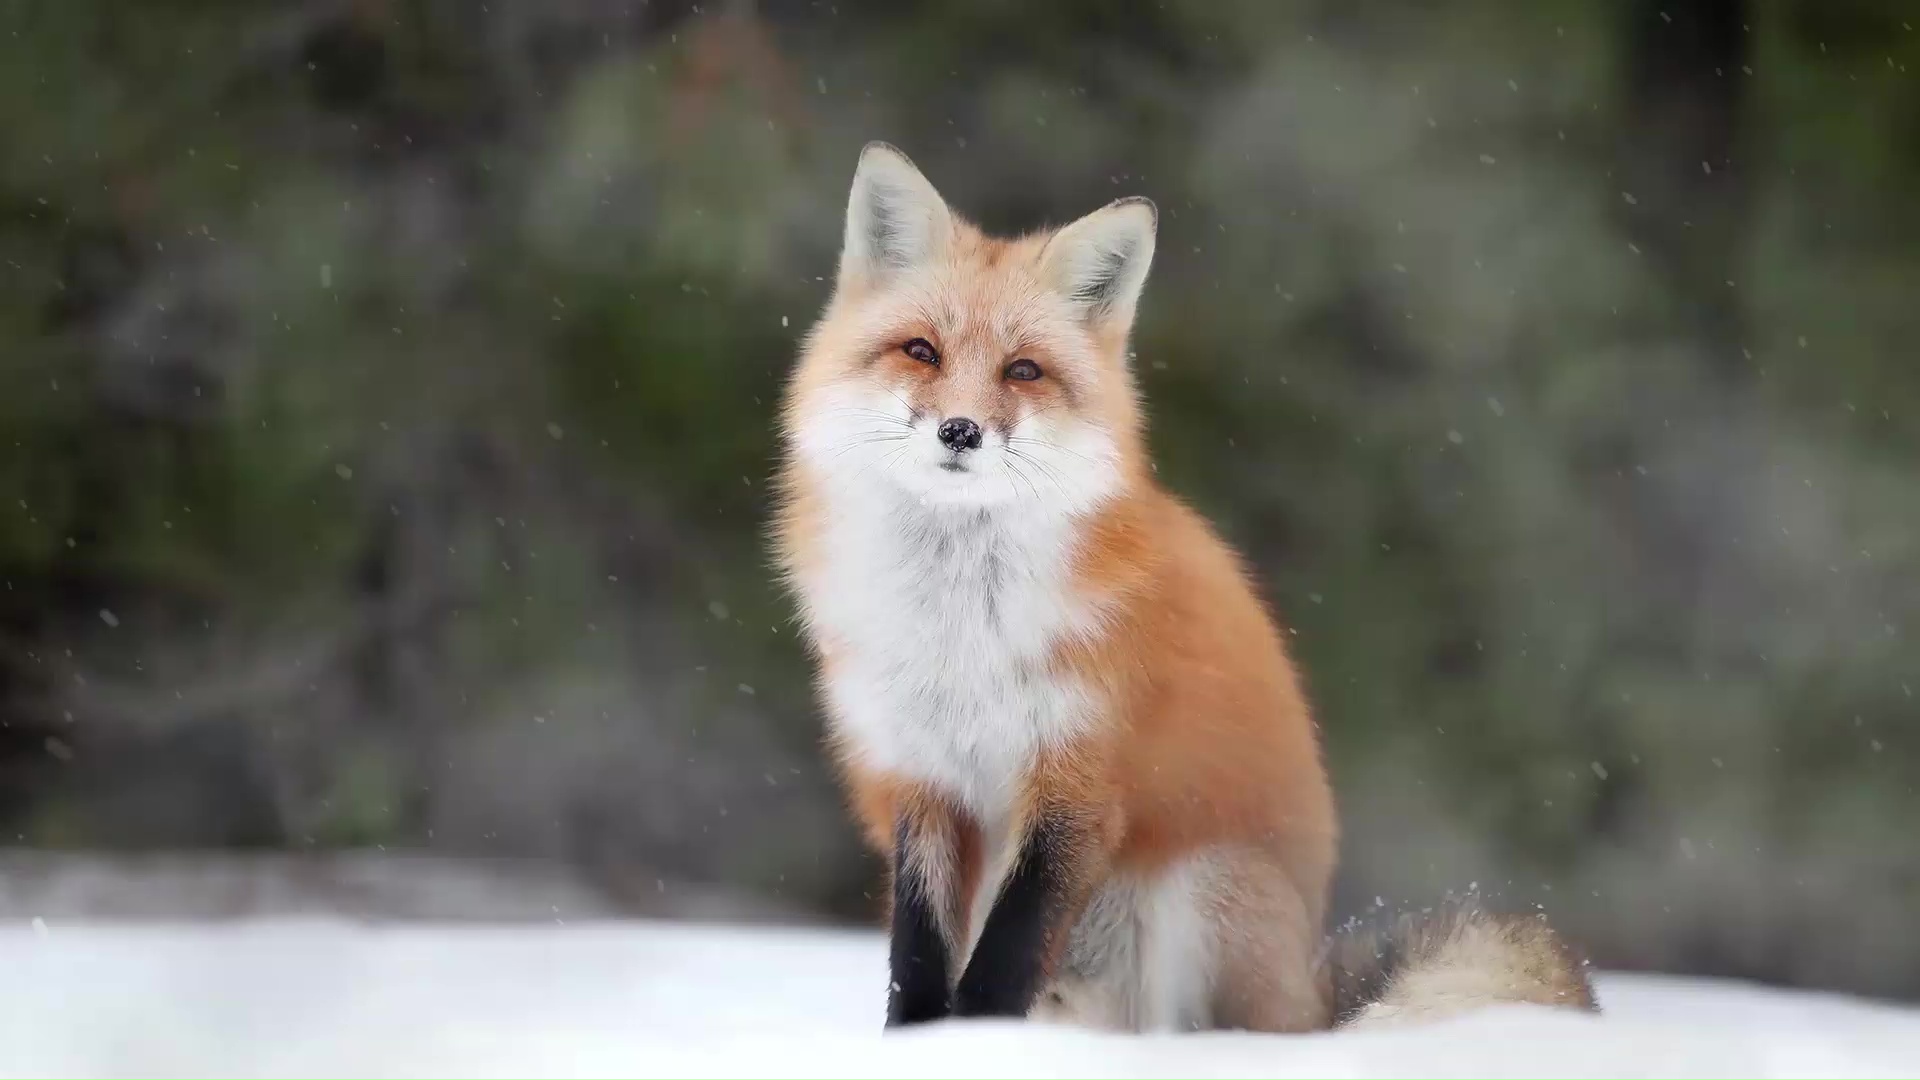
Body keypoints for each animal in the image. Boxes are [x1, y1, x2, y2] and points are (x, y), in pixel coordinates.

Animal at [771, 141, 1598, 1034]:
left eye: (1023, 370)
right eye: (921, 351)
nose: (961, 431)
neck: (961, 633)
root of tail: (1316, 996)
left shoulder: (1078, 784)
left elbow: (1005, 959)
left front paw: (982, 1041)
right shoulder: (919, 778)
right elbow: (917, 958)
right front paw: (917, 1046)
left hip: (1196, 888)